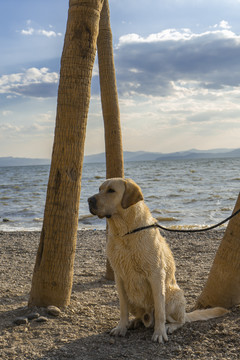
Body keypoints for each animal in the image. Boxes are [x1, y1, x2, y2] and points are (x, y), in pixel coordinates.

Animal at [87, 177, 227, 344]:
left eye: (111, 191)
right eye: (100, 189)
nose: (89, 200)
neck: (125, 233)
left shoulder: (155, 274)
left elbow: (160, 311)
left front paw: (159, 333)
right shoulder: (119, 276)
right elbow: (123, 308)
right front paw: (121, 327)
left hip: (172, 296)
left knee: (180, 320)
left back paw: (169, 326)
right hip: (133, 297)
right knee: (141, 316)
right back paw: (134, 322)